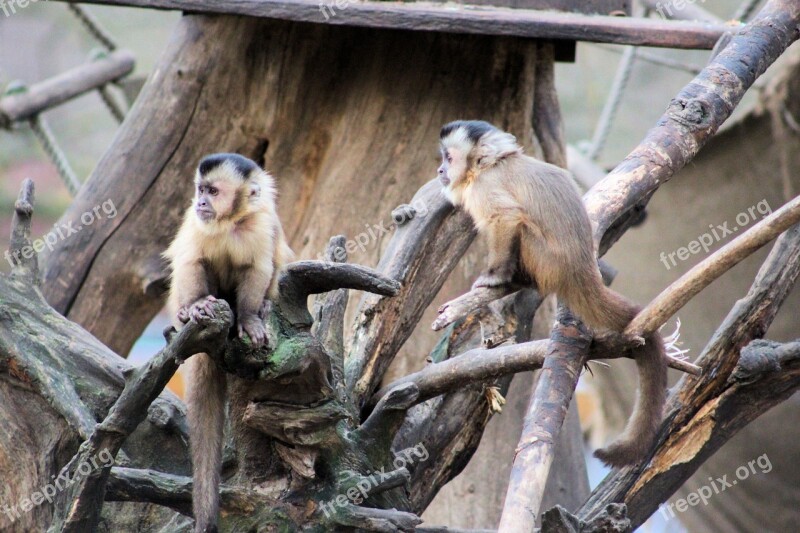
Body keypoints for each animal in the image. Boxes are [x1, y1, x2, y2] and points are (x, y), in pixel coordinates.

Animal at [165, 152, 294, 528]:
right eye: (200, 190)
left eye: (213, 191)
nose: (201, 202)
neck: (229, 222)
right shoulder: (196, 222)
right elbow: (191, 259)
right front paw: (195, 305)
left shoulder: (261, 223)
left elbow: (258, 268)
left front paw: (250, 317)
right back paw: (189, 313)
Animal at [438, 119, 668, 466]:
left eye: (449, 158)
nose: (440, 170)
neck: (490, 166)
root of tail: (580, 266)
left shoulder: (486, 187)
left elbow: (506, 218)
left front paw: (494, 277)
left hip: (546, 260)